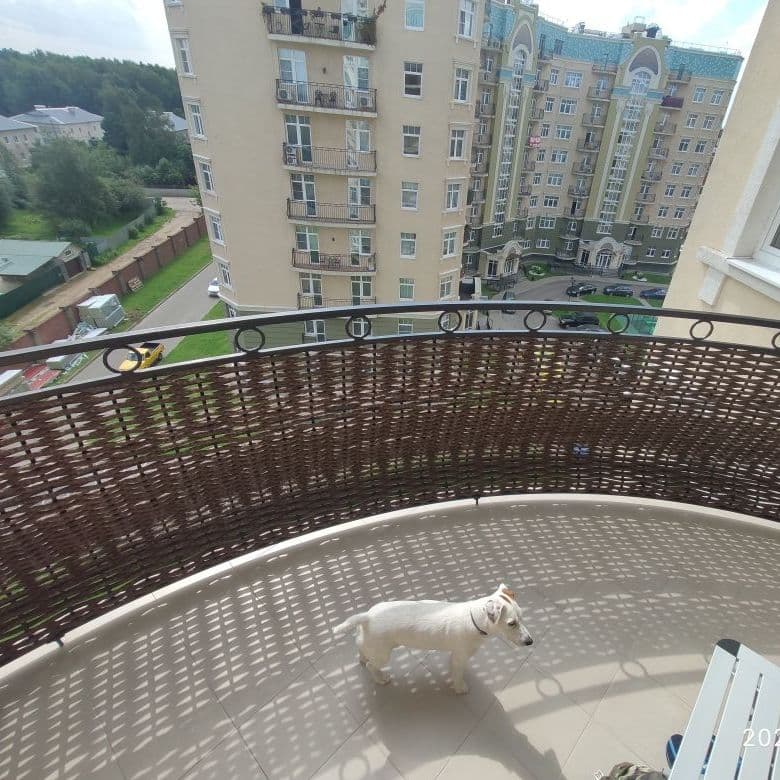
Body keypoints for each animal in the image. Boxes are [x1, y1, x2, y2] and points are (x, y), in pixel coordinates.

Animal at [333, 583, 533, 694]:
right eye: (511, 623)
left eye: (522, 617)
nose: (530, 642)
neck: (474, 618)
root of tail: (367, 617)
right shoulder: (460, 655)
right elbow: (458, 675)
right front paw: (460, 688)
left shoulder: (456, 655)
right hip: (383, 654)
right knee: (371, 666)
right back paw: (380, 679)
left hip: (370, 644)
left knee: (362, 651)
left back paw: (362, 658)